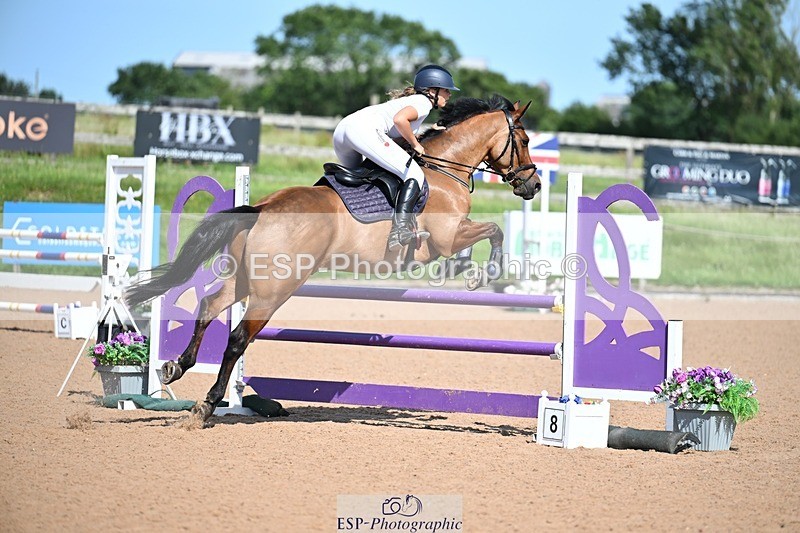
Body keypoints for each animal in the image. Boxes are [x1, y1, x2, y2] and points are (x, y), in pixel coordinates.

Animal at [125, 95, 541, 423]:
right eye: (523, 140)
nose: (534, 184)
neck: (444, 168)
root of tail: (260, 208)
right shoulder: (447, 235)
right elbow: (494, 230)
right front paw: (481, 273)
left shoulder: (451, 234)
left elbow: (483, 234)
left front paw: (463, 268)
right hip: (274, 290)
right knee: (238, 338)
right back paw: (208, 404)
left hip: (245, 278)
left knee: (210, 305)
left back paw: (176, 368)